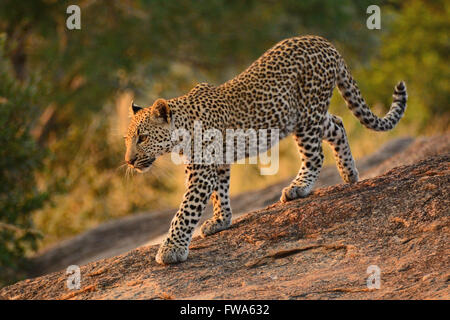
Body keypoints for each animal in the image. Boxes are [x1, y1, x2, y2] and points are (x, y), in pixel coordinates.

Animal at [124, 35, 408, 264]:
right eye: (126, 140)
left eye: (142, 138)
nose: (128, 161)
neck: (181, 131)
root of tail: (324, 42)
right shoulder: (217, 163)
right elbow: (220, 193)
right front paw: (221, 220)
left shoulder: (201, 173)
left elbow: (185, 211)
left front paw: (171, 249)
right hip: (306, 116)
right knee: (337, 124)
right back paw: (349, 173)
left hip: (306, 116)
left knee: (315, 155)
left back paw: (299, 188)